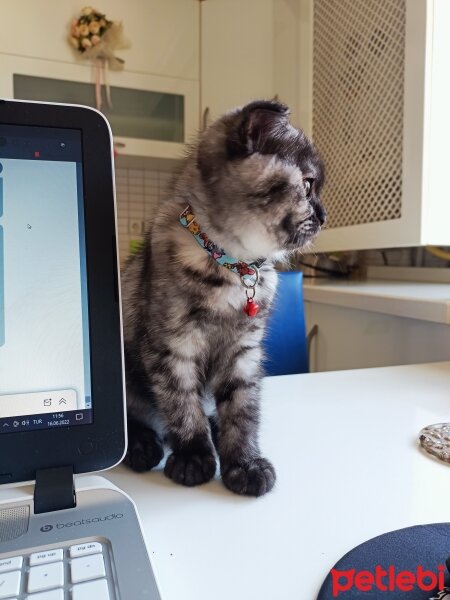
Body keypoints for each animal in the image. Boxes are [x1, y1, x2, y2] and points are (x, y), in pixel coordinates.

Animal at [121, 99, 326, 496]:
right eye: (308, 185)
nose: (324, 216)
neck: (234, 268)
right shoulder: (172, 349)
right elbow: (183, 407)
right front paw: (193, 458)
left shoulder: (244, 352)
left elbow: (242, 409)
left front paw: (245, 463)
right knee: (138, 418)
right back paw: (142, 445)